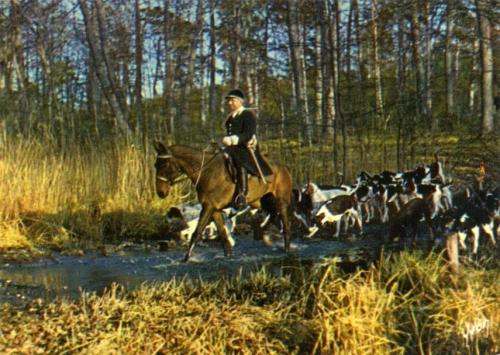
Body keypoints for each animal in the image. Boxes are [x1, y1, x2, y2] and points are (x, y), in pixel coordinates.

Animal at [153, 142, 292, 262]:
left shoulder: (208, 207)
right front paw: (228, 255)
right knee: (274, 218)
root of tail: (283, 167)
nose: (160, 192)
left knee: (285, 224)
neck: (206, 172)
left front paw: (186, 259)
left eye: (164, 164)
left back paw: (286, 248)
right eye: (155, 165)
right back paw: (267, 238)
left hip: (281, 202)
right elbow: (223, 235)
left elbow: (196, 233)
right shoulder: (215, 210)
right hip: (259, 202)